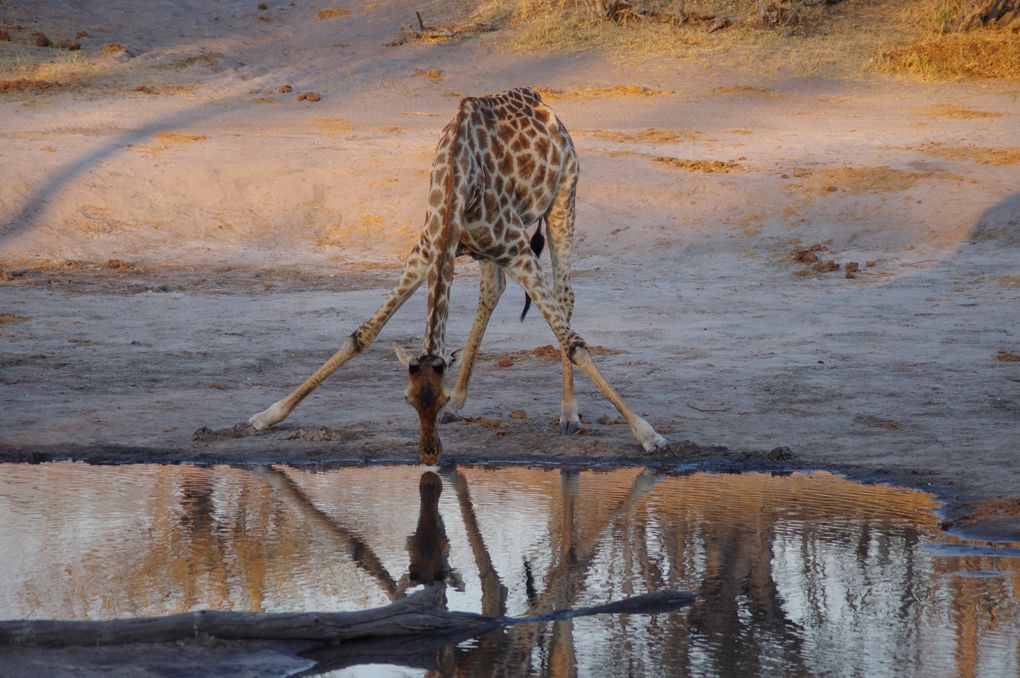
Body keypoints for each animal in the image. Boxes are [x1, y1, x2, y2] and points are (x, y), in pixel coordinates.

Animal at [246, 87, 669, 462]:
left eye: (440, 396)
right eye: (407, 398)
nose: (429, 454)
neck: (456, 179)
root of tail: (545, 107)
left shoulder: (517, 250)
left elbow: (574, 343)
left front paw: (648, 434)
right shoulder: (429, 250)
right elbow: (362, 335)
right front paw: (268, 415)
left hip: (564, 198)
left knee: (564, 296)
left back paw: (568, 413)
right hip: (490, 250)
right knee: (492, 290)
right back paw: (470, 400)